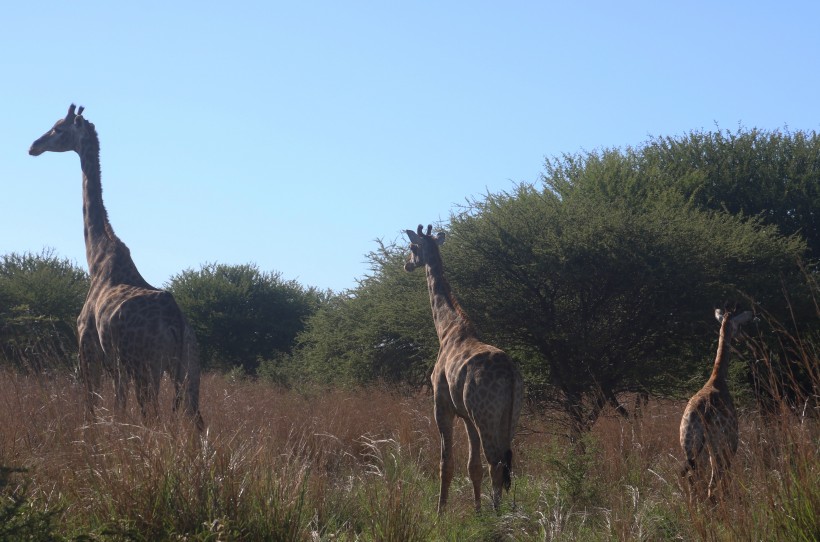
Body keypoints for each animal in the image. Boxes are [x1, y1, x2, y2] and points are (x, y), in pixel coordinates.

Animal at [29, 105, 203, 430]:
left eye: (58, 128)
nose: (34, 146)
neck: (96, 257)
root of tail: (175, 320)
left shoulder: (88, 346)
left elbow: (92, 405)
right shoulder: (117, 363)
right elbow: (117, 406)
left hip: (147, 365)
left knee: (152, 416)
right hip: (188, 367)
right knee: (196, 419)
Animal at [406, 224, 524, 516]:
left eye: (412, 247)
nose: (407, 264)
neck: (446, 330)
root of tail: (511, 374)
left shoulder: (442, 406)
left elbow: (446, 463)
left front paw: (439, 513)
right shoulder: (467, 416)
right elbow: (473, 467)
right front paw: (477, 512)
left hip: (486, 415)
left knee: (496, 463)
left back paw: (498, 515)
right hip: (509, 416)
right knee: (504, 461)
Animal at [680, 310, 756, 506]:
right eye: (739, 326)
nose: (743, 338)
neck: (717, 378)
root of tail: (702, 413)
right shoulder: (731, 441)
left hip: (689, 444)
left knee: (693, 479)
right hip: (718, 444)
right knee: (714, 480)